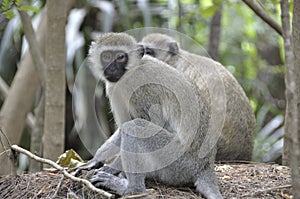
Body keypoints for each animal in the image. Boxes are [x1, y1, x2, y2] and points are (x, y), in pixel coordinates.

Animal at [75, 33, 223, 199]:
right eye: (106, 56)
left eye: (120, 57)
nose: (111, 68)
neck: (132, 71)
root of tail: (205, 166)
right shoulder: (114, 88)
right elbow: (122, 126)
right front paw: (95, 160)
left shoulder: (143, 89)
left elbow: (147, 123)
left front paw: (112, 168)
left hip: (177, 161)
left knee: (135, 128)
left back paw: (131, 189)